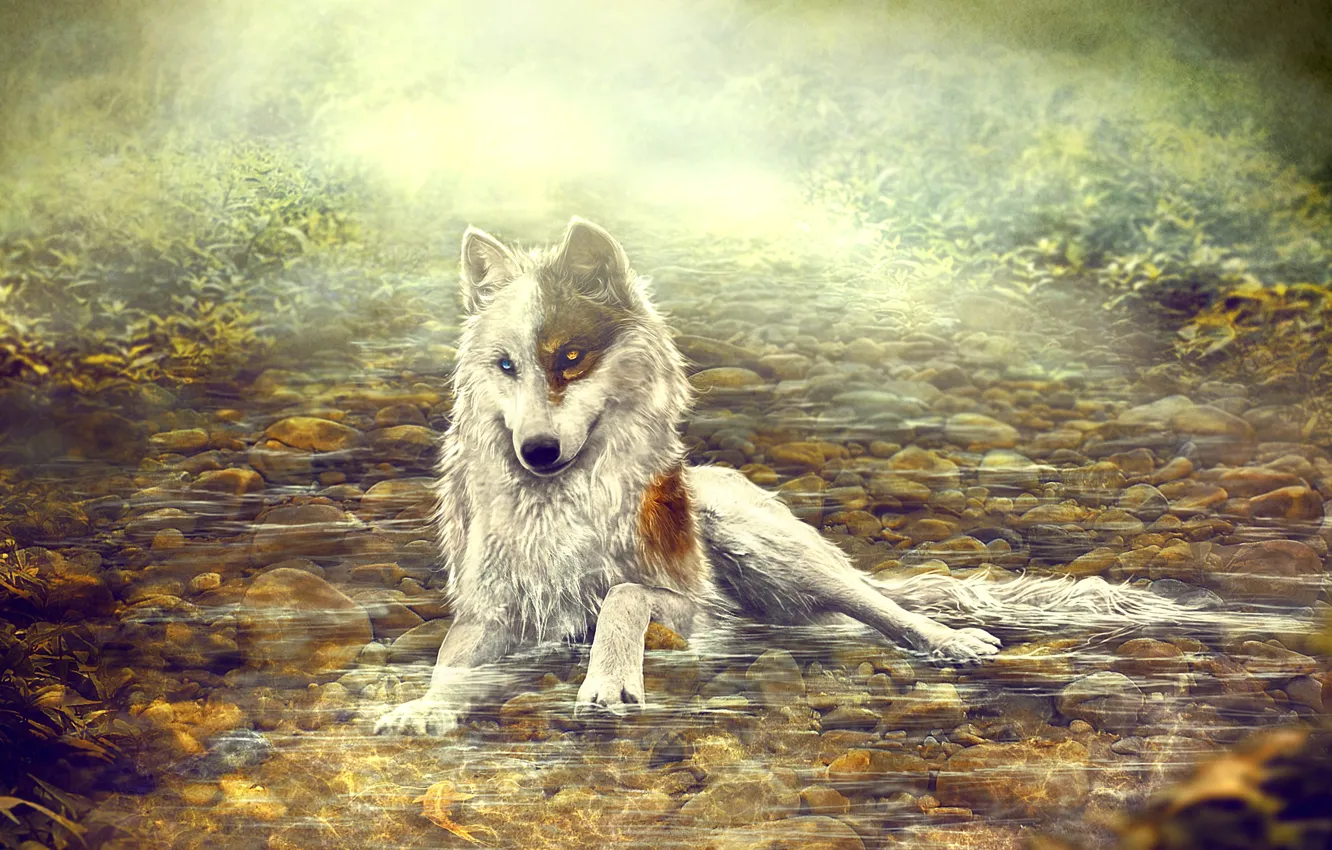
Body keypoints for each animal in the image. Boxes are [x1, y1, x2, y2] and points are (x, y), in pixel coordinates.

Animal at [373, 217, 1266, 736]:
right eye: (507, 365)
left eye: (571, 360)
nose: (536, 453)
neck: (560, 506)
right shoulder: (497, 615)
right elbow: (452, 659)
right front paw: (422, 709)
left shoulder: (698, 615)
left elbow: (624, 596)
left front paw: (608, 683)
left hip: (768, 547)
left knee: (884, 607)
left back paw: (950, 644)